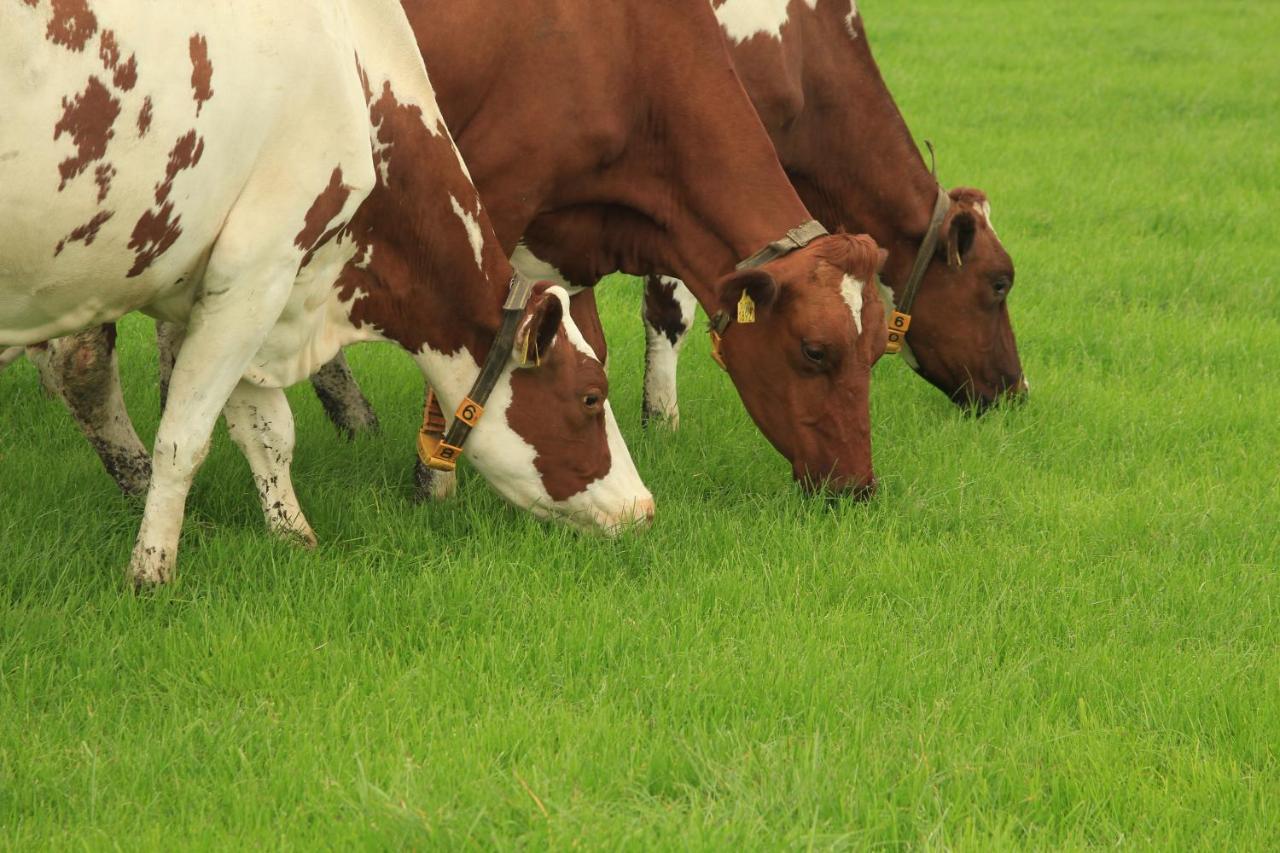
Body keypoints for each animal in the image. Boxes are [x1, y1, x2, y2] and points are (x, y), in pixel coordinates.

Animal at [2, 0, 650, 584]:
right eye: (591, 397)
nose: (643, 508)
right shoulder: (257, 271)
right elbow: (184, 439)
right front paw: (151, 572)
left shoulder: (236, 292)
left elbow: (266, 433)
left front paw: (294, 537)